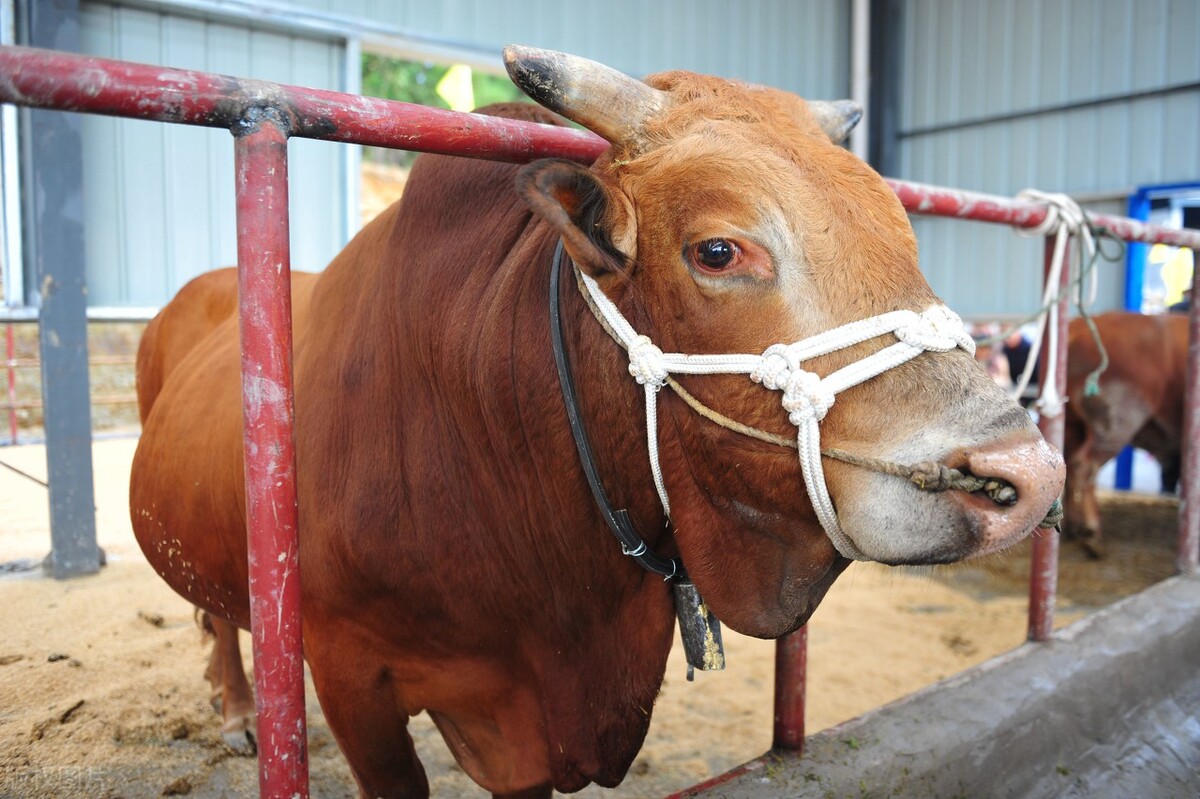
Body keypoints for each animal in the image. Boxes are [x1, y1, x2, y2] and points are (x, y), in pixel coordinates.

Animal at [133, 46, 1060, 791]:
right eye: (717, 250)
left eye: (901, 232)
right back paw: (238, 709)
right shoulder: (352, 678)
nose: (1029, 473)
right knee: (221, 617)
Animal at [1065, 307, 1185, 556]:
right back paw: (1092, 533)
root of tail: (1078, 328)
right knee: (1085, 467)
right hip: (1114, 425)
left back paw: (1073, 527)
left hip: (1073, 426)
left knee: (1068, 465)